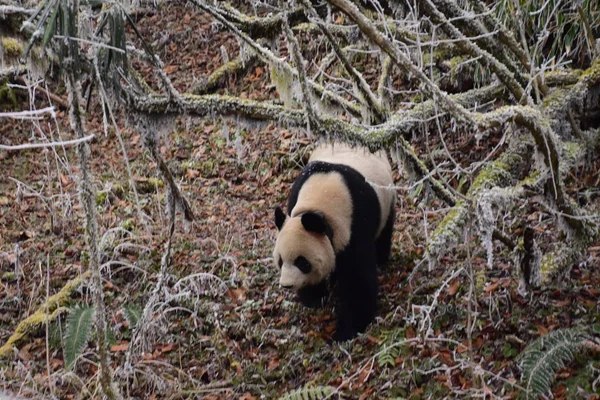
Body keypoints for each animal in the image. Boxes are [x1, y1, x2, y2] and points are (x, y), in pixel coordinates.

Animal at [270, 142, 394, 342]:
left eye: (302, 262)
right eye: (281, 261)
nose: (287, 284)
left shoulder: (355, 222)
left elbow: (358, 280)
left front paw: (347, 331)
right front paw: (313, 297)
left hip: (387, 200)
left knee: (384, 231)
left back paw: (382, 259)